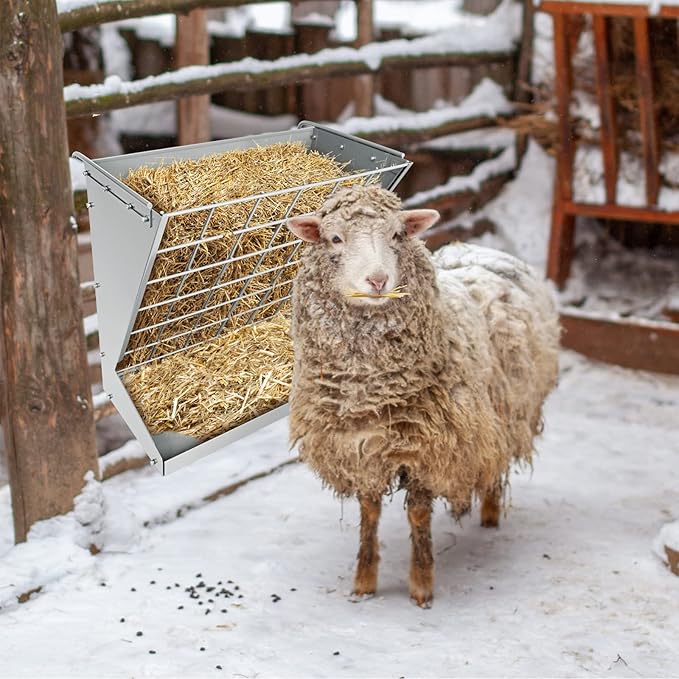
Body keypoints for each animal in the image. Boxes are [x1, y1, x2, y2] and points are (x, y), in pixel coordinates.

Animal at [286, 185, 560, 607]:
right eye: (335, 238)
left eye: (398, 235)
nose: (378, 280)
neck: (371, 388)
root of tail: (482, 248)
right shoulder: (363, 448)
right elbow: (369, 512)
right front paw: (364, 581)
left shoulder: (427, 447)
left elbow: (417, 514)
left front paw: (421, 584)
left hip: (502, 409)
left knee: (496, 461)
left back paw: (490, 515)